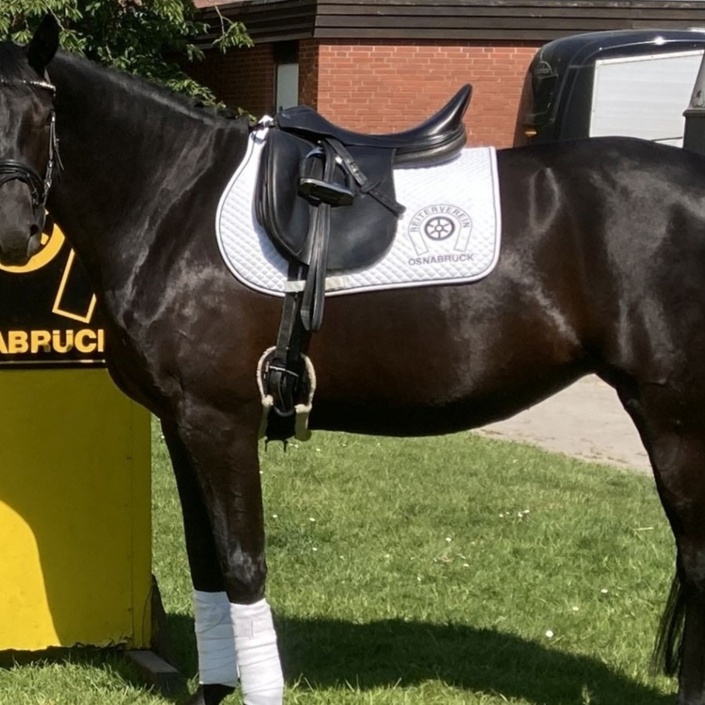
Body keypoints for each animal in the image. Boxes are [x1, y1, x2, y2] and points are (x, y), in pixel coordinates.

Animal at [2, 13, 705, 705]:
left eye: (40, 114)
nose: (13, 233)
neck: (174, 203)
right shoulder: (182, 424)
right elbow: (208, 564)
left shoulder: (221, 422)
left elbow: (243, 564)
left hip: (672, 418)